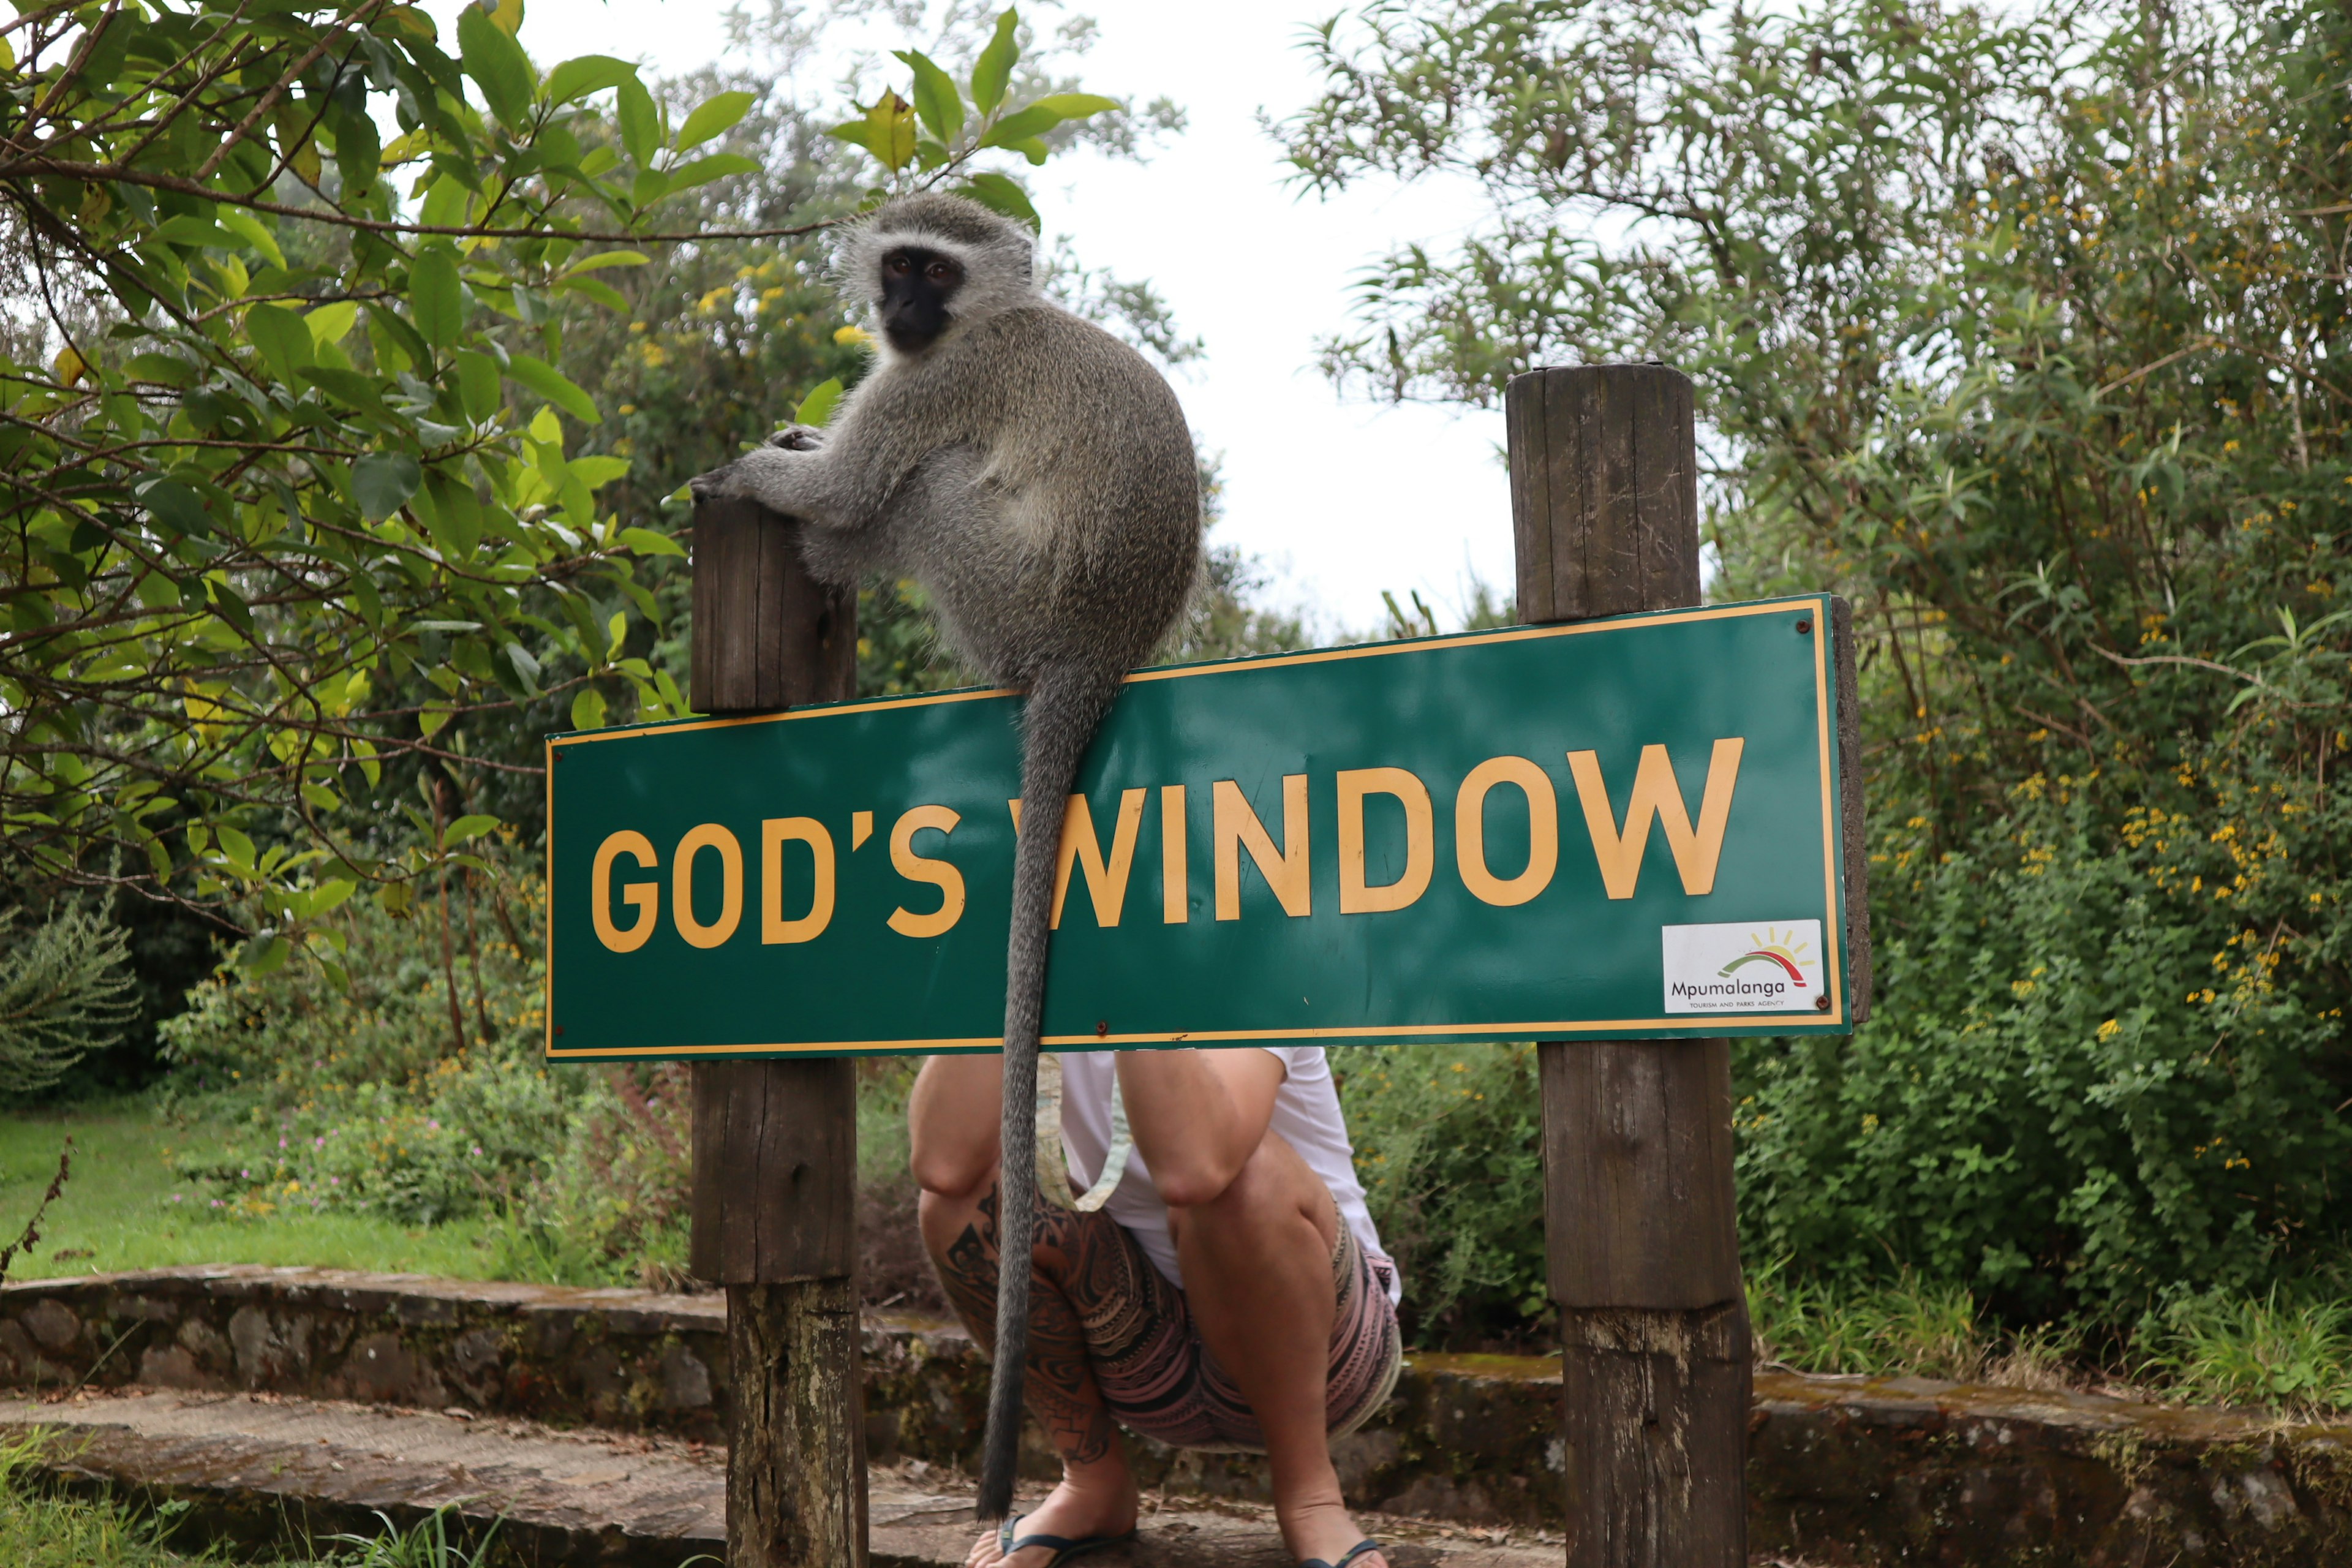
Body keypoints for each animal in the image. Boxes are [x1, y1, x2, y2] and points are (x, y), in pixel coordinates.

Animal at [682, 187, 1194, 1523]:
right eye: (900, 265)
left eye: (935, 274)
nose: (901, 311)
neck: (984, 322)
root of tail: (1096, 650)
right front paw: (792, 432)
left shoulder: (938, 384)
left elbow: (858, 472)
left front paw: (762, 474)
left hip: (995, 579)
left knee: (917, 488)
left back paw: (827, 557)